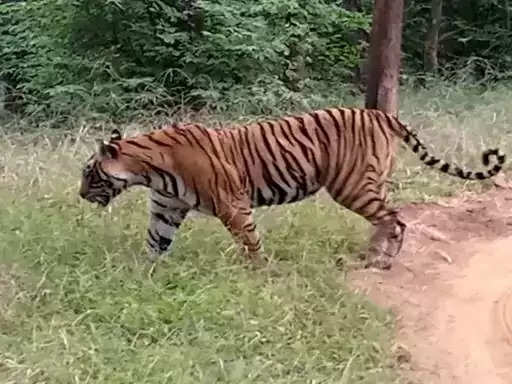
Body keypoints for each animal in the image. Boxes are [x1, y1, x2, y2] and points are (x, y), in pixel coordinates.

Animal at [78, 106, 506, 268]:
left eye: (89, 173)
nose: (80, 195)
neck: (148, 168)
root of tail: (379, 112)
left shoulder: (232, 204)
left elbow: (249, 240)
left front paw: (258, 272)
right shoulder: (166, 207)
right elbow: (156, 241)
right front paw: (143, 274)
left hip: (351, 185)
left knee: (395, 219)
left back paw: (380, 262)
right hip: (367, 184)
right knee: (386, 218)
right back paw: (368, 256)